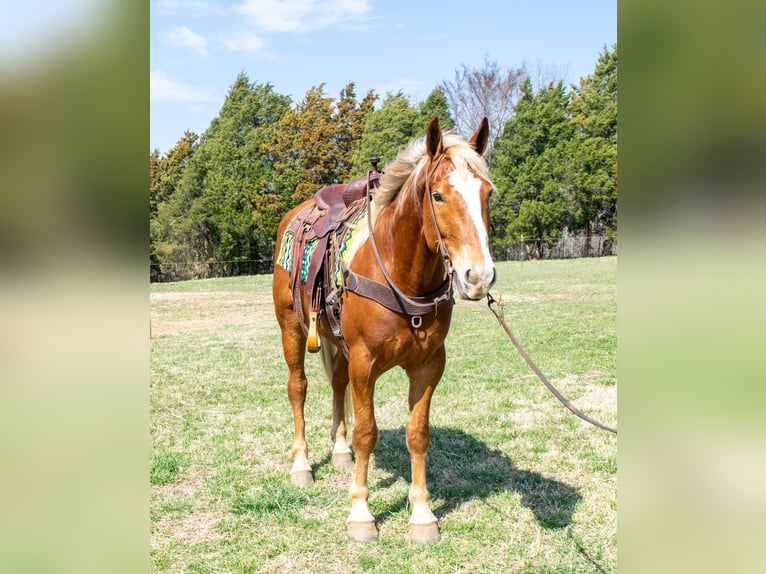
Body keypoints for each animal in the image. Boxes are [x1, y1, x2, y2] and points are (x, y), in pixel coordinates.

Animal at [272, 116, 496, 544]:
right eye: (438, 196)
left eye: (488, 193)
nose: (478, 276)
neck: (401, 274)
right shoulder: (364, 362)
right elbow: (368, 432)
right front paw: (361, 513)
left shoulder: (429, 366)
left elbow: (418, 434)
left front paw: (422, 514)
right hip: (291, 326)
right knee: (298, 388)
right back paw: (302, 465)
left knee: (336, 383)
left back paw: (339, 451)